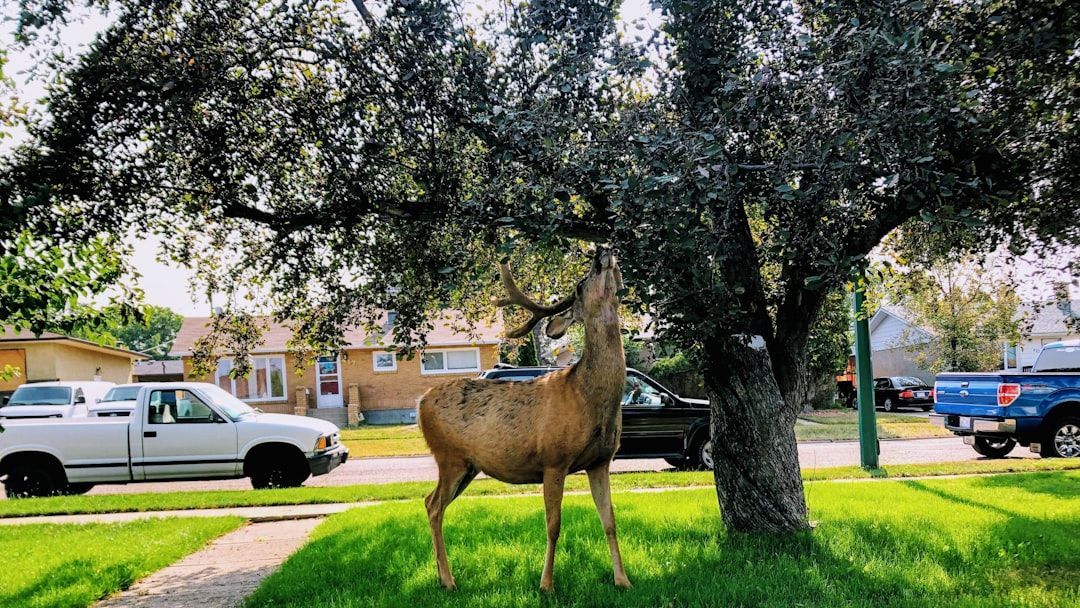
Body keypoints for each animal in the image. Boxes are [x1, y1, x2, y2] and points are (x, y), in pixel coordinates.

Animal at [417, 248, 631, 592]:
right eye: (580, 285)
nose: (602, 252)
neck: (589, 398)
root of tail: (420, 402)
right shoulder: (554, 459)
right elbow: (553, 525)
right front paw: (546, 585)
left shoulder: (601, 461)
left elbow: (610, 521)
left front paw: (623, 580)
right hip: (450, 456)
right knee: (435, 506)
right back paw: (449, 581)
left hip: (467, 465)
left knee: (428, 501)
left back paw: (441, 576)